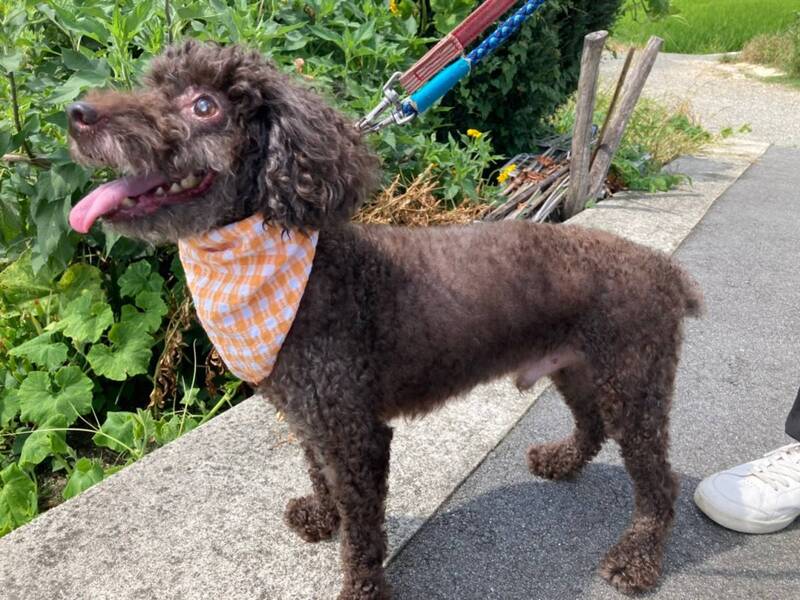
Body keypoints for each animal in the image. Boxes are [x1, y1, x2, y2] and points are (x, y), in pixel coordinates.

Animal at [66, 40, 702, 599]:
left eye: (205, 105)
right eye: (153, 84)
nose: (77, 114)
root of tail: (667, 270)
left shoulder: (355, 432)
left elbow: (365, 533)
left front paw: (360, 587)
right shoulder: (311, 416)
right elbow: (318, 473)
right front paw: (321, 515)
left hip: (634, 381)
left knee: (659, 482)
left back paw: (637, 559)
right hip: (579, 369)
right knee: (592, 426)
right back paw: (561, 461)